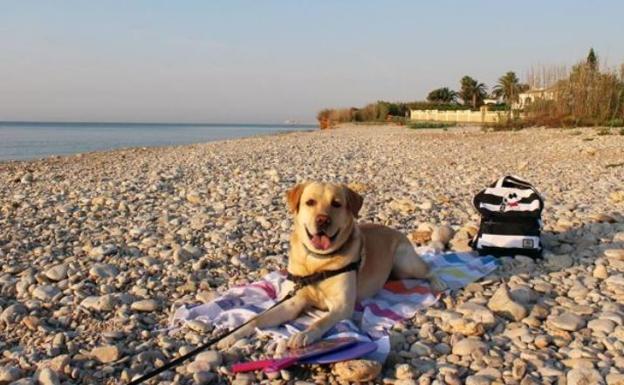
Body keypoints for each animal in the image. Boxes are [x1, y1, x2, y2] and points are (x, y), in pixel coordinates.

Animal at [217, 182, 446, 348]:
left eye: (336, 203)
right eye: (310, 202)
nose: (322, 220)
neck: (318, 263)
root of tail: (394, 230)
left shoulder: (341, 306)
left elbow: (321, 321)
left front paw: (305, 334)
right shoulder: (293, 302)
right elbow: (256, 319)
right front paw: (231, 336)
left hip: (405, 261)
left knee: (428, 269)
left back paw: (438, 284)